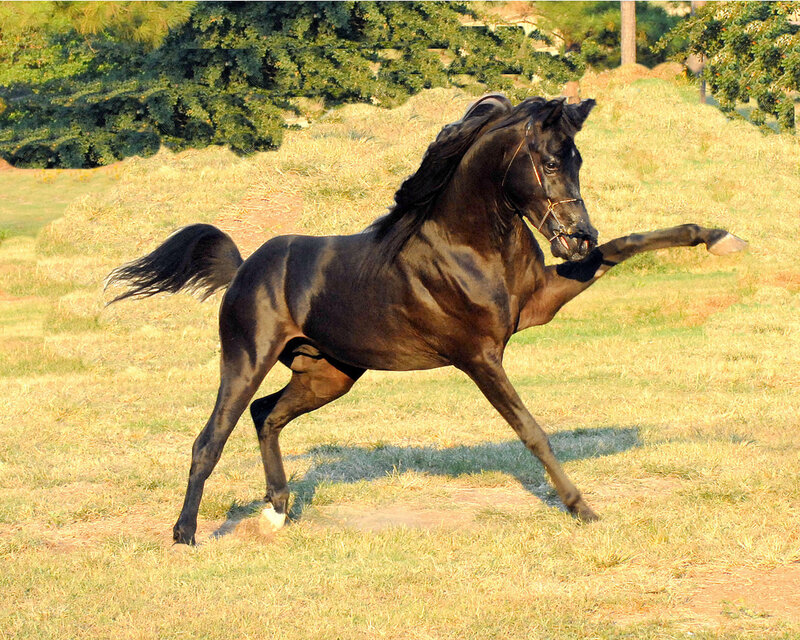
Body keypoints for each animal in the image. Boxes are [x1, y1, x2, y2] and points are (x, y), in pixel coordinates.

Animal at [107, 94, 746, 545]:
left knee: (267, 415)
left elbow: (628, 245)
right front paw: (583, 508)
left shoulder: (540, 303)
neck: (469, 243)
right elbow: (531, 430)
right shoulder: (479, 355)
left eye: (578, 159)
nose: (576, 235)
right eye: (546, 161)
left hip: (328, 374)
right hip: (245, 360)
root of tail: (244, 269)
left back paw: (276, 512)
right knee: (210, 438)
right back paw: (185, 534)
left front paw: (719, 237)